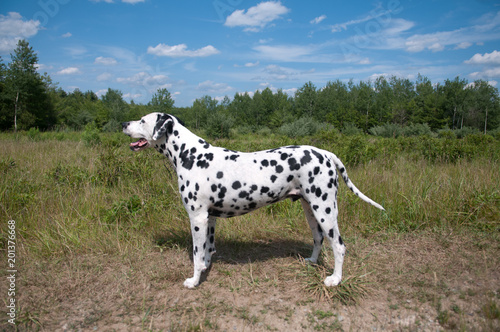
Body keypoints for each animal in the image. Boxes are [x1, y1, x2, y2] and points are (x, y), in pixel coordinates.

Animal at [123, 112, 384, 288]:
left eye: (143, 120)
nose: (124, 124)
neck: (192, 156)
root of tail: (326, 154)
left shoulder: (197, 218)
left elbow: (197, 254)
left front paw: (194, 280)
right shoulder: (210, 219)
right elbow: (208, 248)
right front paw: (206, 266)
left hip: (325, 211)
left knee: (339, 246)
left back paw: (335, 279)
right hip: (311, 211)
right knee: (319, 238)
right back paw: (311, 260)